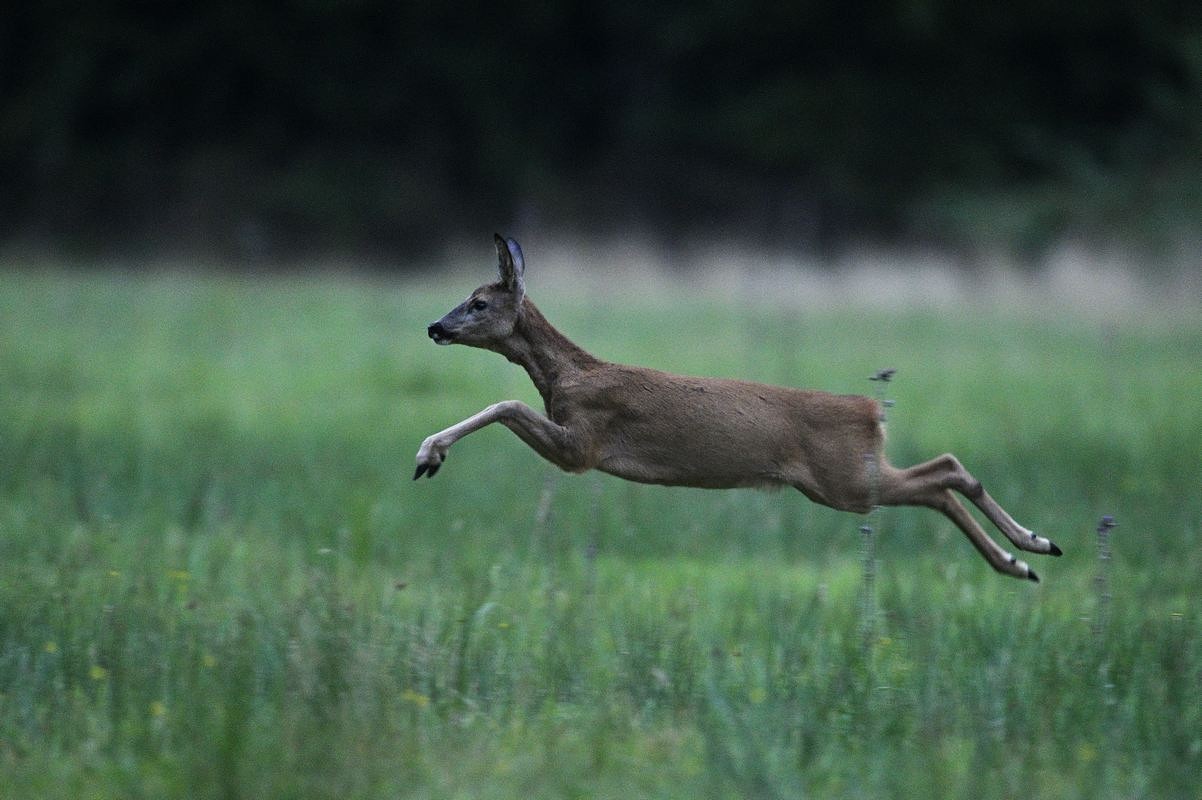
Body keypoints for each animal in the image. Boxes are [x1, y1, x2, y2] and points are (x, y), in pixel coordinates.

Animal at [413, 235, 1062, 578]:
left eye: (477, 302)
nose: (434, 327)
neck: (568, 375)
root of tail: (872, 410)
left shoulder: (583, 444)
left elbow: (506, 402)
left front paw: (428, 454)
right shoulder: (576, 442)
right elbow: (508, 402)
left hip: (844, 480)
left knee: (942, 475)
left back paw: (1026, 552)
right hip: (848, 477)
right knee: (944, 476)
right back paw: (1028, 555)